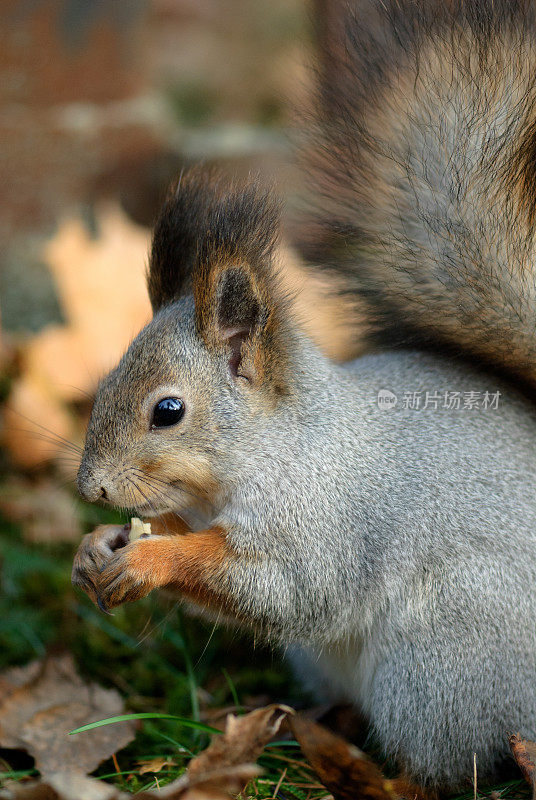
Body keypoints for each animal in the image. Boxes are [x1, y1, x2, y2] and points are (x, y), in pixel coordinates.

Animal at [72, 0, 536, 792]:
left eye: (168, 411)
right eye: (102, 384)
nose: (91, 488)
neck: (272, 446)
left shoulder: (322, 521)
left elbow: (281, 588)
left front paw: (150, 561)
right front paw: (96, 550)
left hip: (441, 662)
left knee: (453, 762)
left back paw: (388, 777)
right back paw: (312, 724)